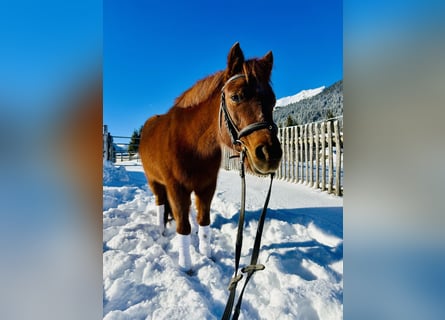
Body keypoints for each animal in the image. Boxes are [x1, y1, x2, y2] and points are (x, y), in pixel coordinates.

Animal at [139, 42, 280, 270]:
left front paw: (206, 255)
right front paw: (186, 267)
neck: (192, 145)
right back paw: (161, 231)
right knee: (161, 206)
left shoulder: (206, 188)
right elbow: (183, 227)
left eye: (273, 100)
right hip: (155, 182)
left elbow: (204, 222)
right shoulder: (176, 189)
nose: (270, 153)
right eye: (235, 96)